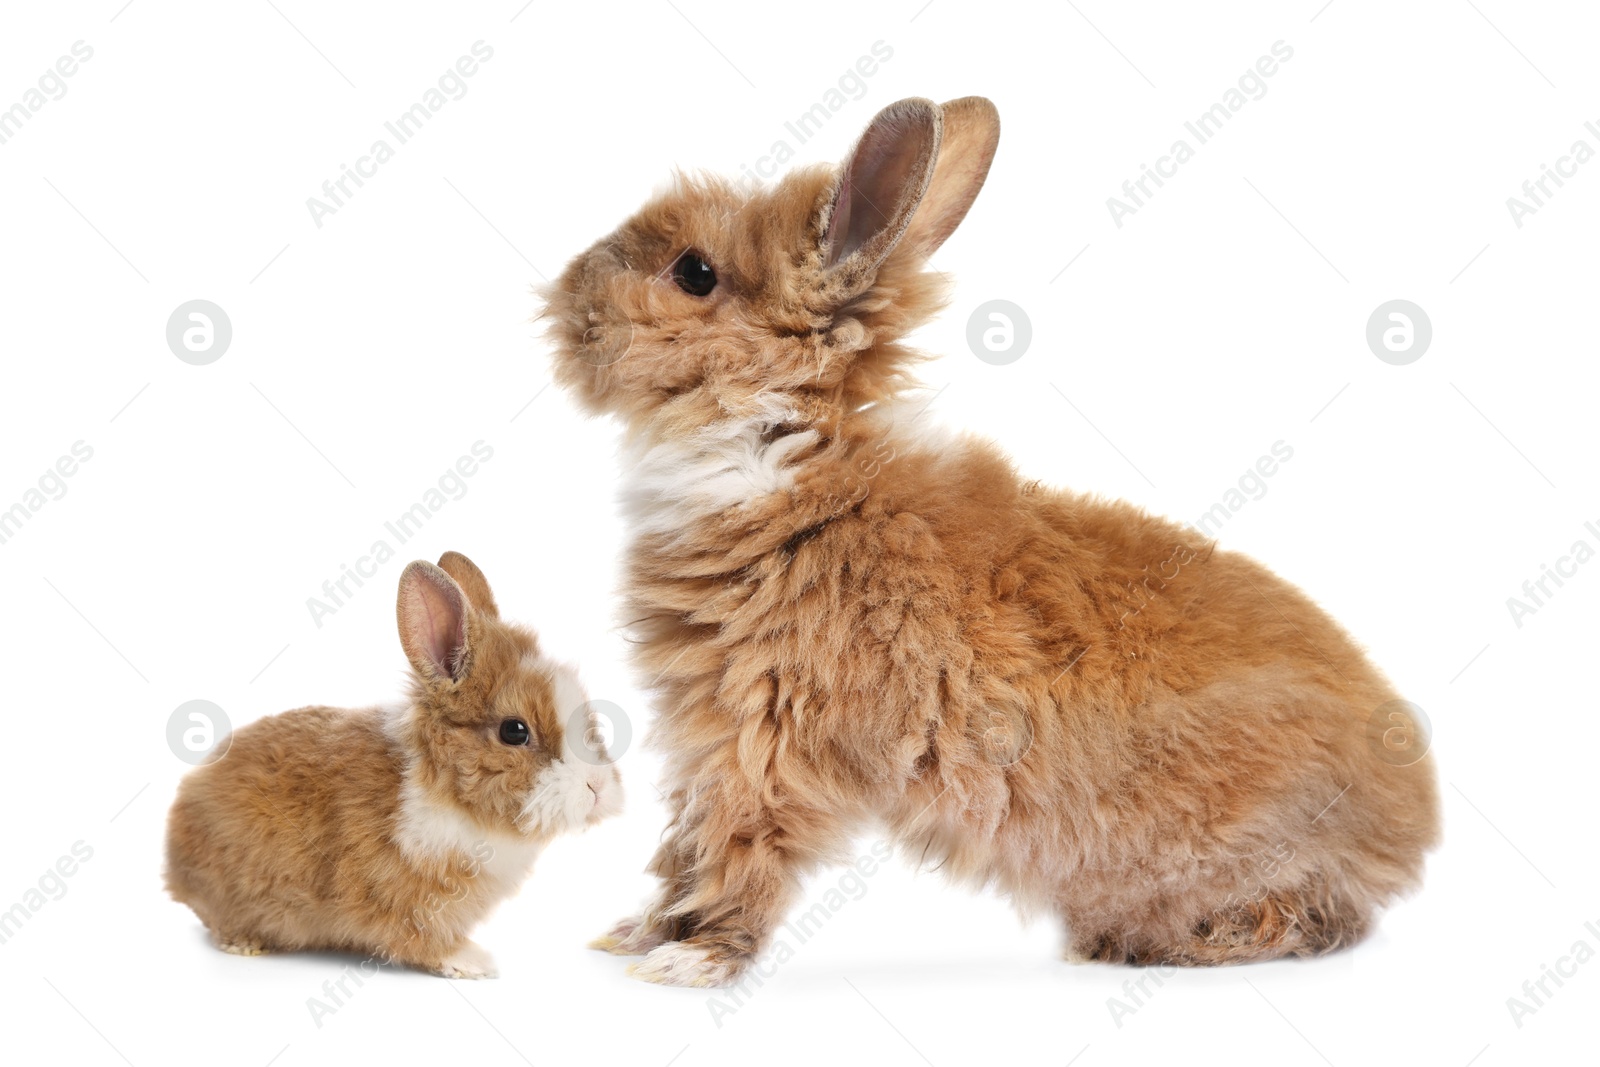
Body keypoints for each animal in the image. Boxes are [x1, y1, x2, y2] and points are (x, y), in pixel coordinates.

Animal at [164, 556, 617, 979]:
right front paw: (474, 963)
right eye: (514, 731)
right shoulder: (407, 900)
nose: (597, 788)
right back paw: (245, 944)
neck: (444, 791)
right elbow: (423, 939)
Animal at [547, 95, 1440, 991]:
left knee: (1318, 916)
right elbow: (685, 846)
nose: (567, 296)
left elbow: (740, 846)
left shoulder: (770, 737)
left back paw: (1169, 942)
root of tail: (1411, 822)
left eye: (694, 272)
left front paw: (690, 960)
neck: (783, 456)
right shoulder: (711, 737)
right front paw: (635, 937)